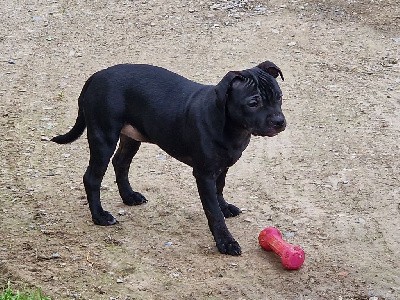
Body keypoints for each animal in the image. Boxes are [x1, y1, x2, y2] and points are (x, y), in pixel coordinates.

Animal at [52, 61, 284, 255]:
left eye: (279, 96)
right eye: (253, 103)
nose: (280, 121)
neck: (232, 126)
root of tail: (95, 76)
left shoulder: (222, 167)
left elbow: (220, 191)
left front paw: (224, 207)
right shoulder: (204, 174)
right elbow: (213, 212)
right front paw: (226, 242)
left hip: (131, 135)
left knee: (121, 163)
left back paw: (129, 196)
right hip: (103, 137)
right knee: (92, 177)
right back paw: (100, 216)